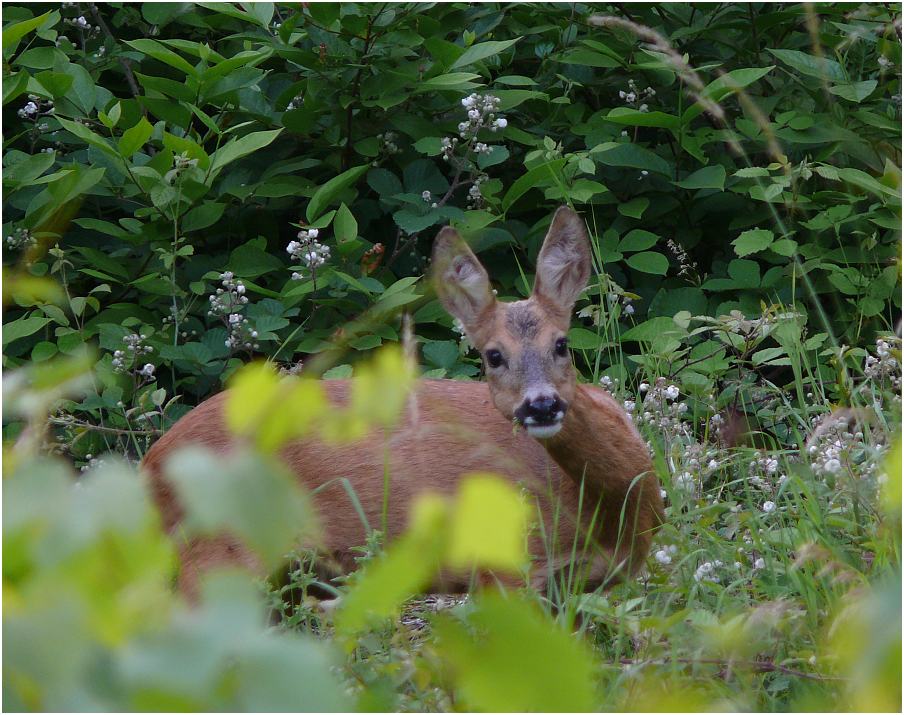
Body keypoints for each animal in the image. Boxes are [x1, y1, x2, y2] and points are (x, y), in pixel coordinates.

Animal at [143, 207, 664, 600]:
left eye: (561, 344)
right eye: (493, 355)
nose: (541, 406)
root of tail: (151, 463)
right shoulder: (502, 565)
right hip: (220, 545)